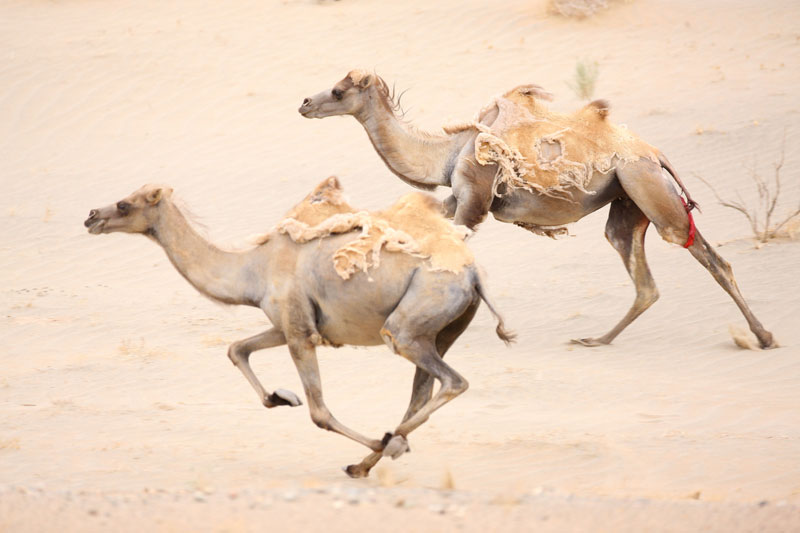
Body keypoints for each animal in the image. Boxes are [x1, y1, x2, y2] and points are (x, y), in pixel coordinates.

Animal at [84, 179, 516, 478]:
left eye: (124, 203)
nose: (91, 216)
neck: (252, 269)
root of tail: (473, 274)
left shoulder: (298, 332)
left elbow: (319, 413)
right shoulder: (285, 325)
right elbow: (236, 349)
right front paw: (281, 397)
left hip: (412, 323)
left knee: (452, 381)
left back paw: (387, 444)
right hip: (442, 330)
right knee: (423, 390)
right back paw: (368, 460)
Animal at [298, 68, 776, 350]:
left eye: (338, 90)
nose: (304, 102)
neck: (446, 154)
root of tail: (655, 154)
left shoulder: (473, 202)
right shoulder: (456, 200)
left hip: (646, 185)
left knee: (704, 253)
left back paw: (764, 335)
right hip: (627, 200)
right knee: (641, 273)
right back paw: (597, 339)